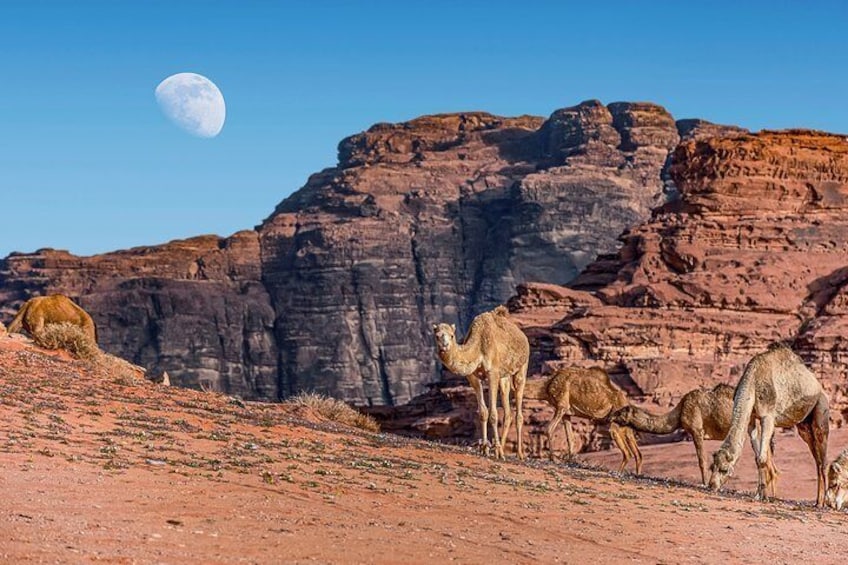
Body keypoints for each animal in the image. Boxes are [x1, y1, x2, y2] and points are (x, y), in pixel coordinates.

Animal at [434, 304, 528, 458]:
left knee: (519, 411)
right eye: (437, 336)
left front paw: (496, 450)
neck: (478, 346)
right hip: (504, 376)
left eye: (452, 335)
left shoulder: (492, 373)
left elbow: (494, 414)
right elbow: (483, 412)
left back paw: (519, 454)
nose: (444, 346)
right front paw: (485, 448)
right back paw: (502, 448)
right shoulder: (473, 377)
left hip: (521, 368)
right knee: (507, 411)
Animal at [608, 384, 780, 484]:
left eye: (621, 411)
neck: (679, 413)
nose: (611, 416)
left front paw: (704, 483)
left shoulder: (696, 430)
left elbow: (701, 460)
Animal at [704, 342, 832, 504]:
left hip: (821, 409)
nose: (711, 486)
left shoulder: (768, 416)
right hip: (804, 426)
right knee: (817, 459)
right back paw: (817, 501)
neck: (752, 381)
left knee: (823, 457)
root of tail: (818, 385)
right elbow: (757, 457)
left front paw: (763, 496)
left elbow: (762, 457)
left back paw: (824, 503)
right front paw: (758, 494)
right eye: (711, 467)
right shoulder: (751, 419)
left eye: (724, 469)